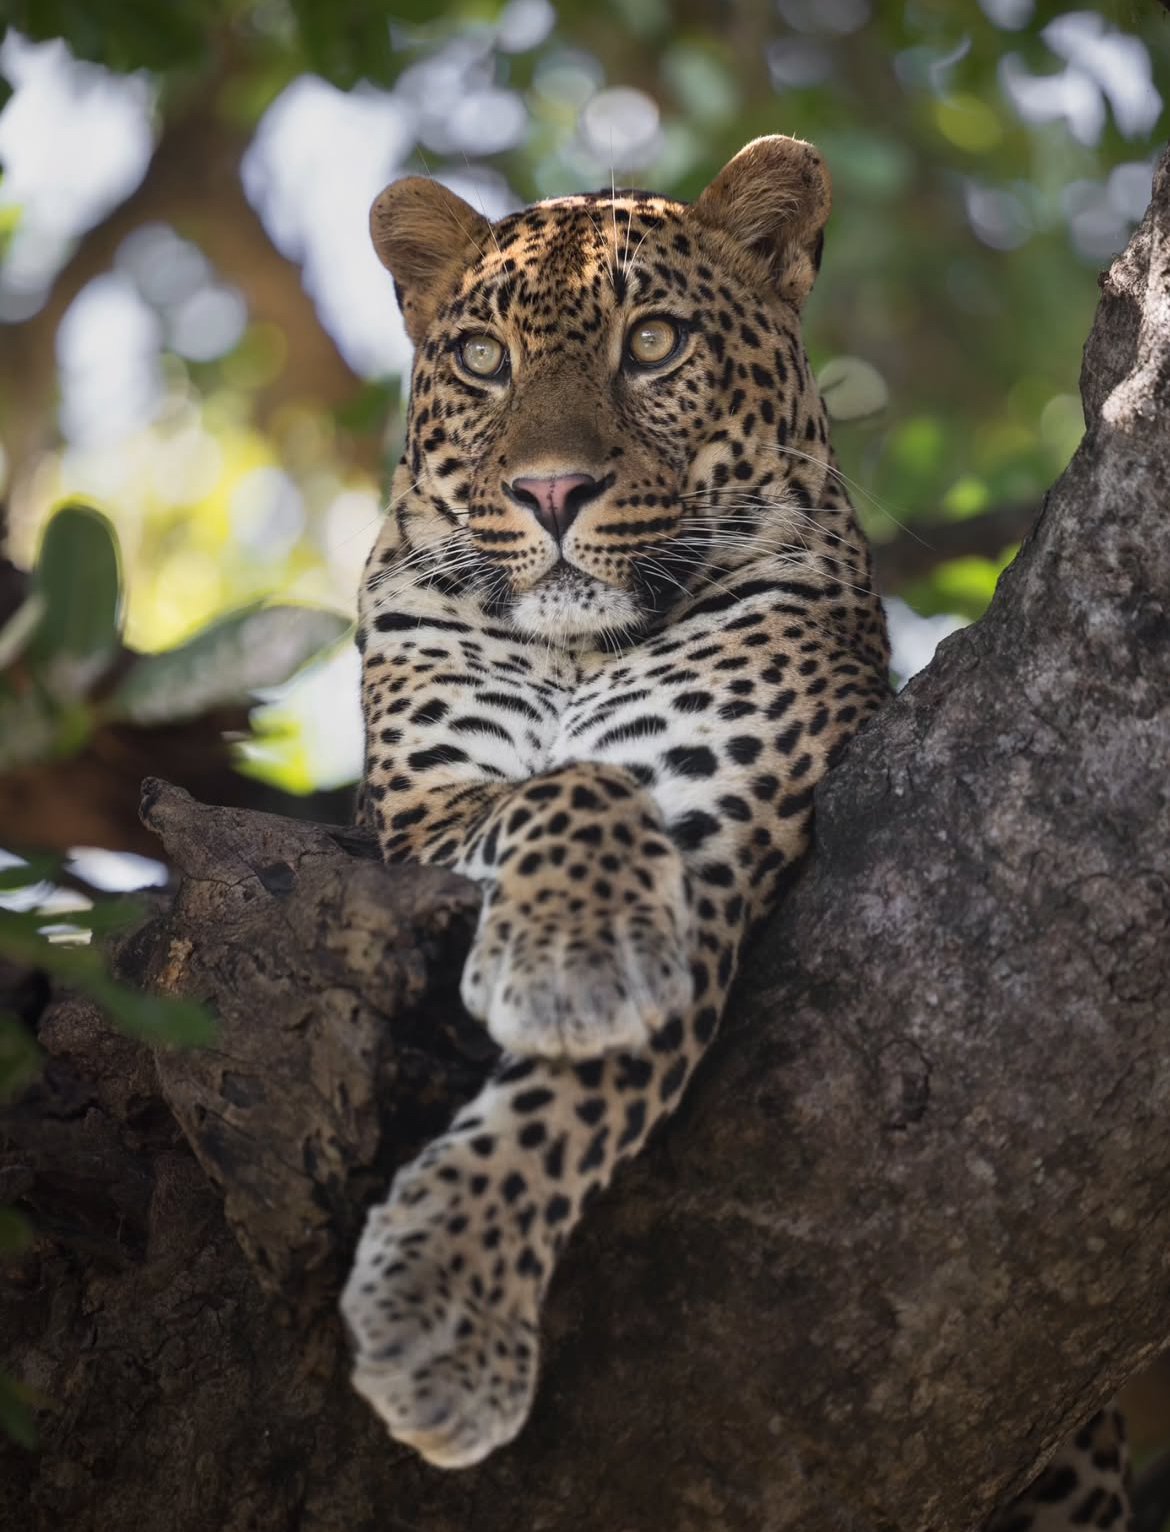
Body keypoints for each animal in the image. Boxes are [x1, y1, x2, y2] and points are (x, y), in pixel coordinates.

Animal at [338, 133, 1135, 1531]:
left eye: (653, 342)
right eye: (483, 358)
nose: (550, 489)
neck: (581, 648)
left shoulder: (716, 844)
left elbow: (574, 1087)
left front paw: (442, 1311)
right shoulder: (423, 819)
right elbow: (567, 785)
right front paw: (578, 950)